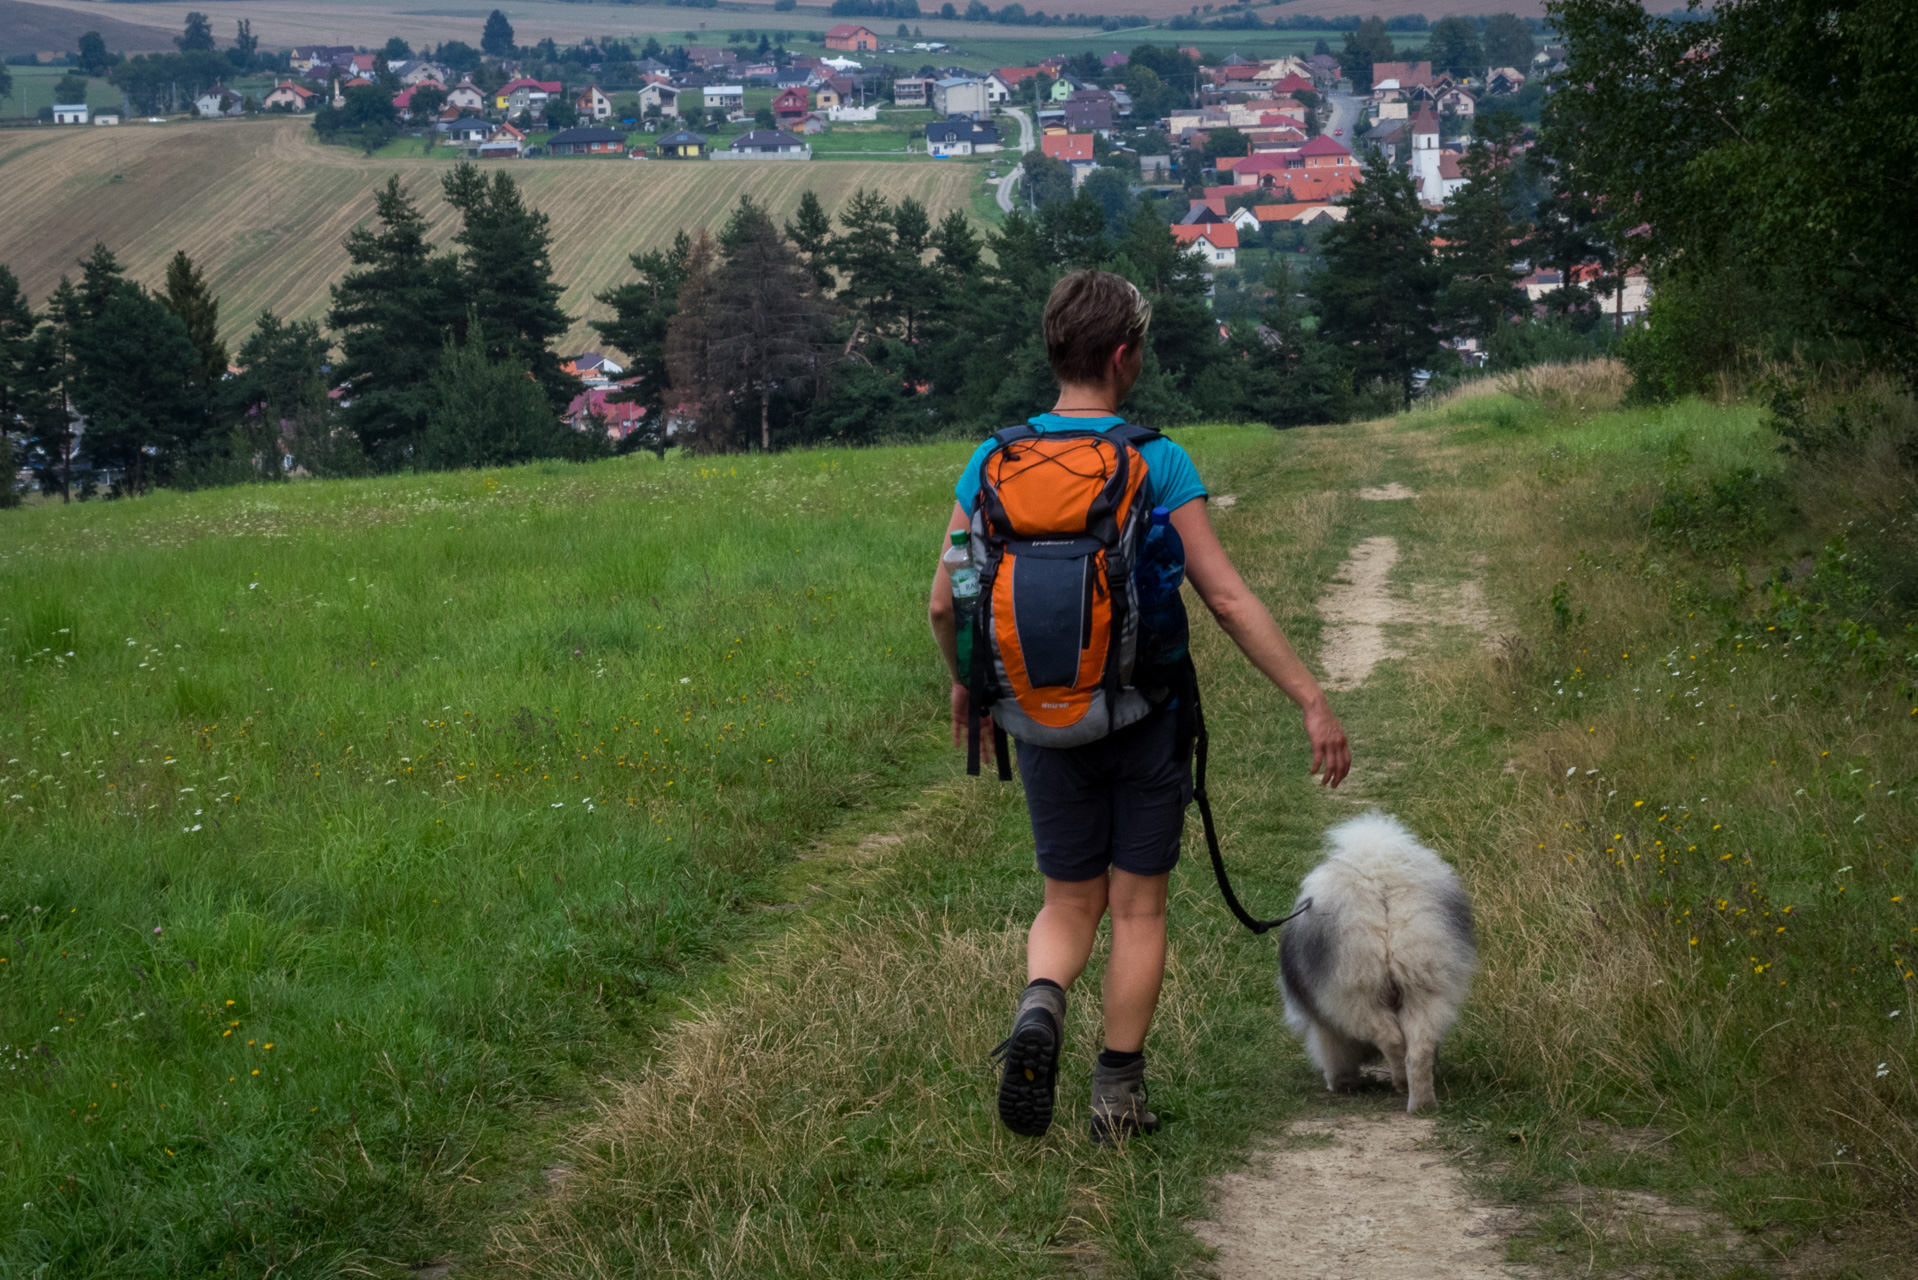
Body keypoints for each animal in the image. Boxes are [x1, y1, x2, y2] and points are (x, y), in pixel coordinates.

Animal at [1281, 817, 1473, 1113]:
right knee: (1419, 1049)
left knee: (1390, 1038)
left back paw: (1399, 1082)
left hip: (1356, 991)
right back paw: (1420, 1102)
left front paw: (1340, 1083)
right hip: (1424, 984)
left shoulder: (1326, 1022)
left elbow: (1334, 1053)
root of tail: (1381, 886)